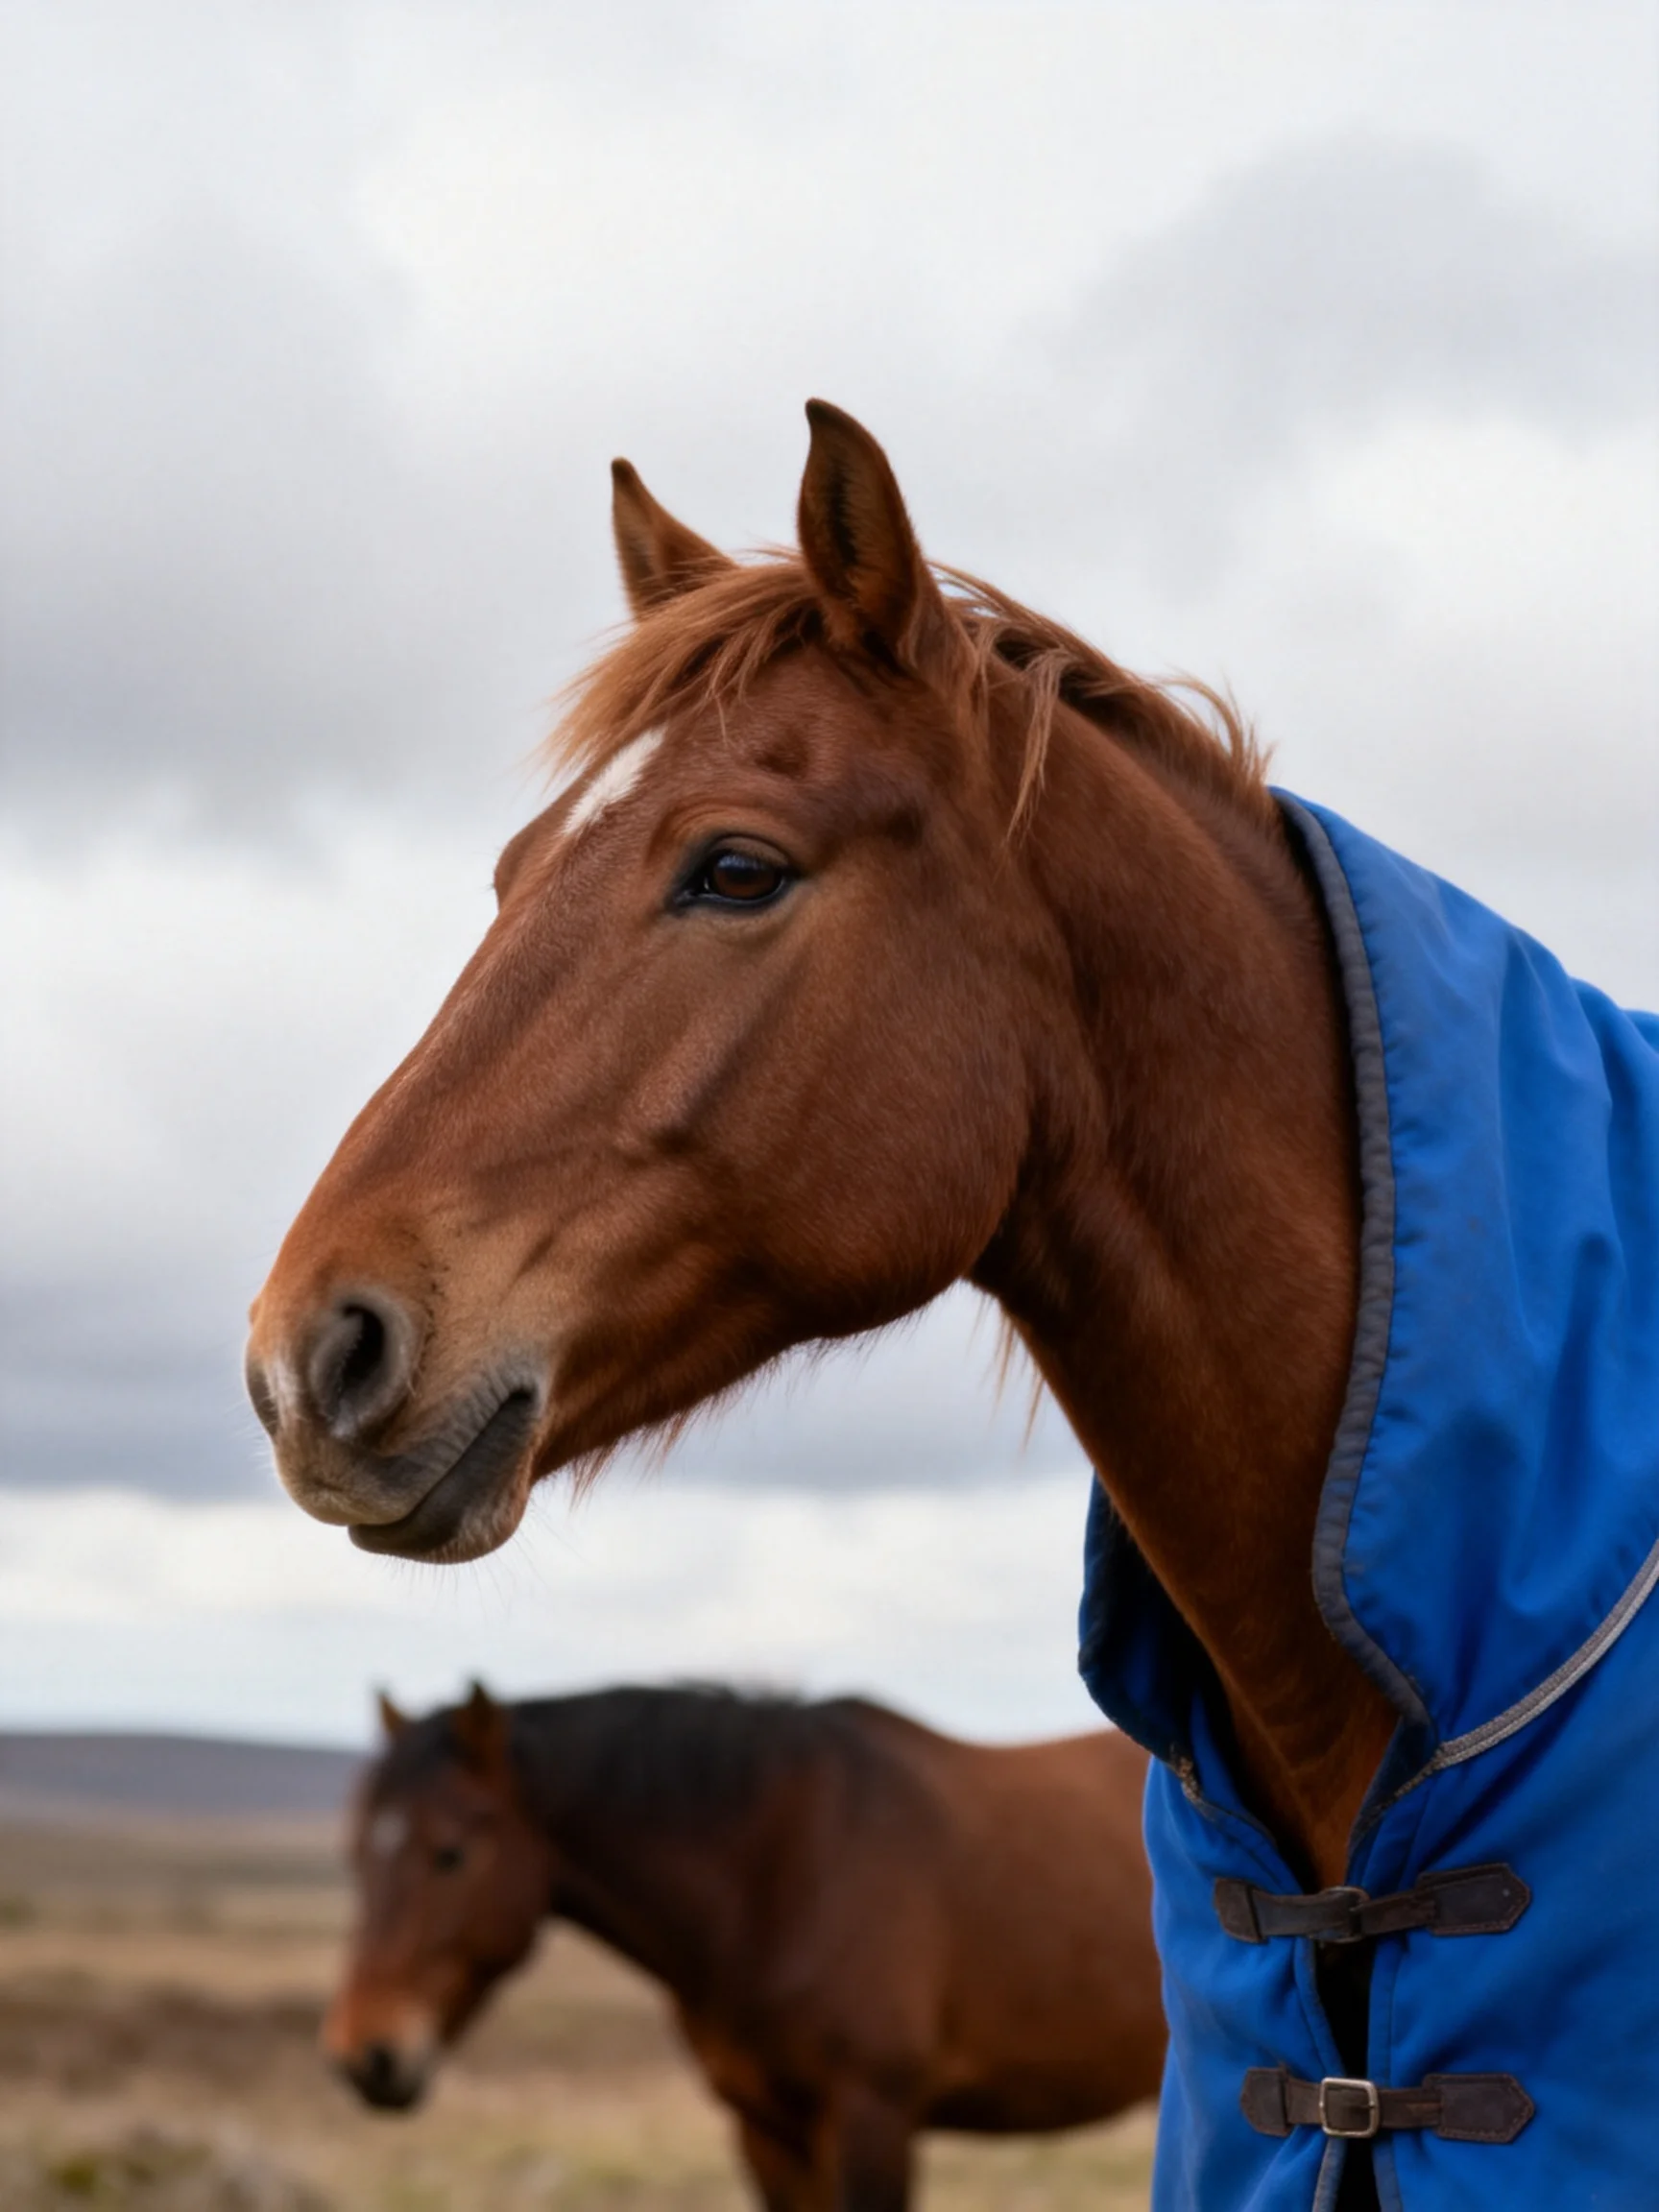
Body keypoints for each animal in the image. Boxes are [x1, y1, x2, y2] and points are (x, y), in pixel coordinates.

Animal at [325, 1681, 1163, 2208]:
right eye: (357, 1851)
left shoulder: (871, 2115)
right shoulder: (765, 2131)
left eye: (451, 1853)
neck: (780, 1875)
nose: (365, 2057)